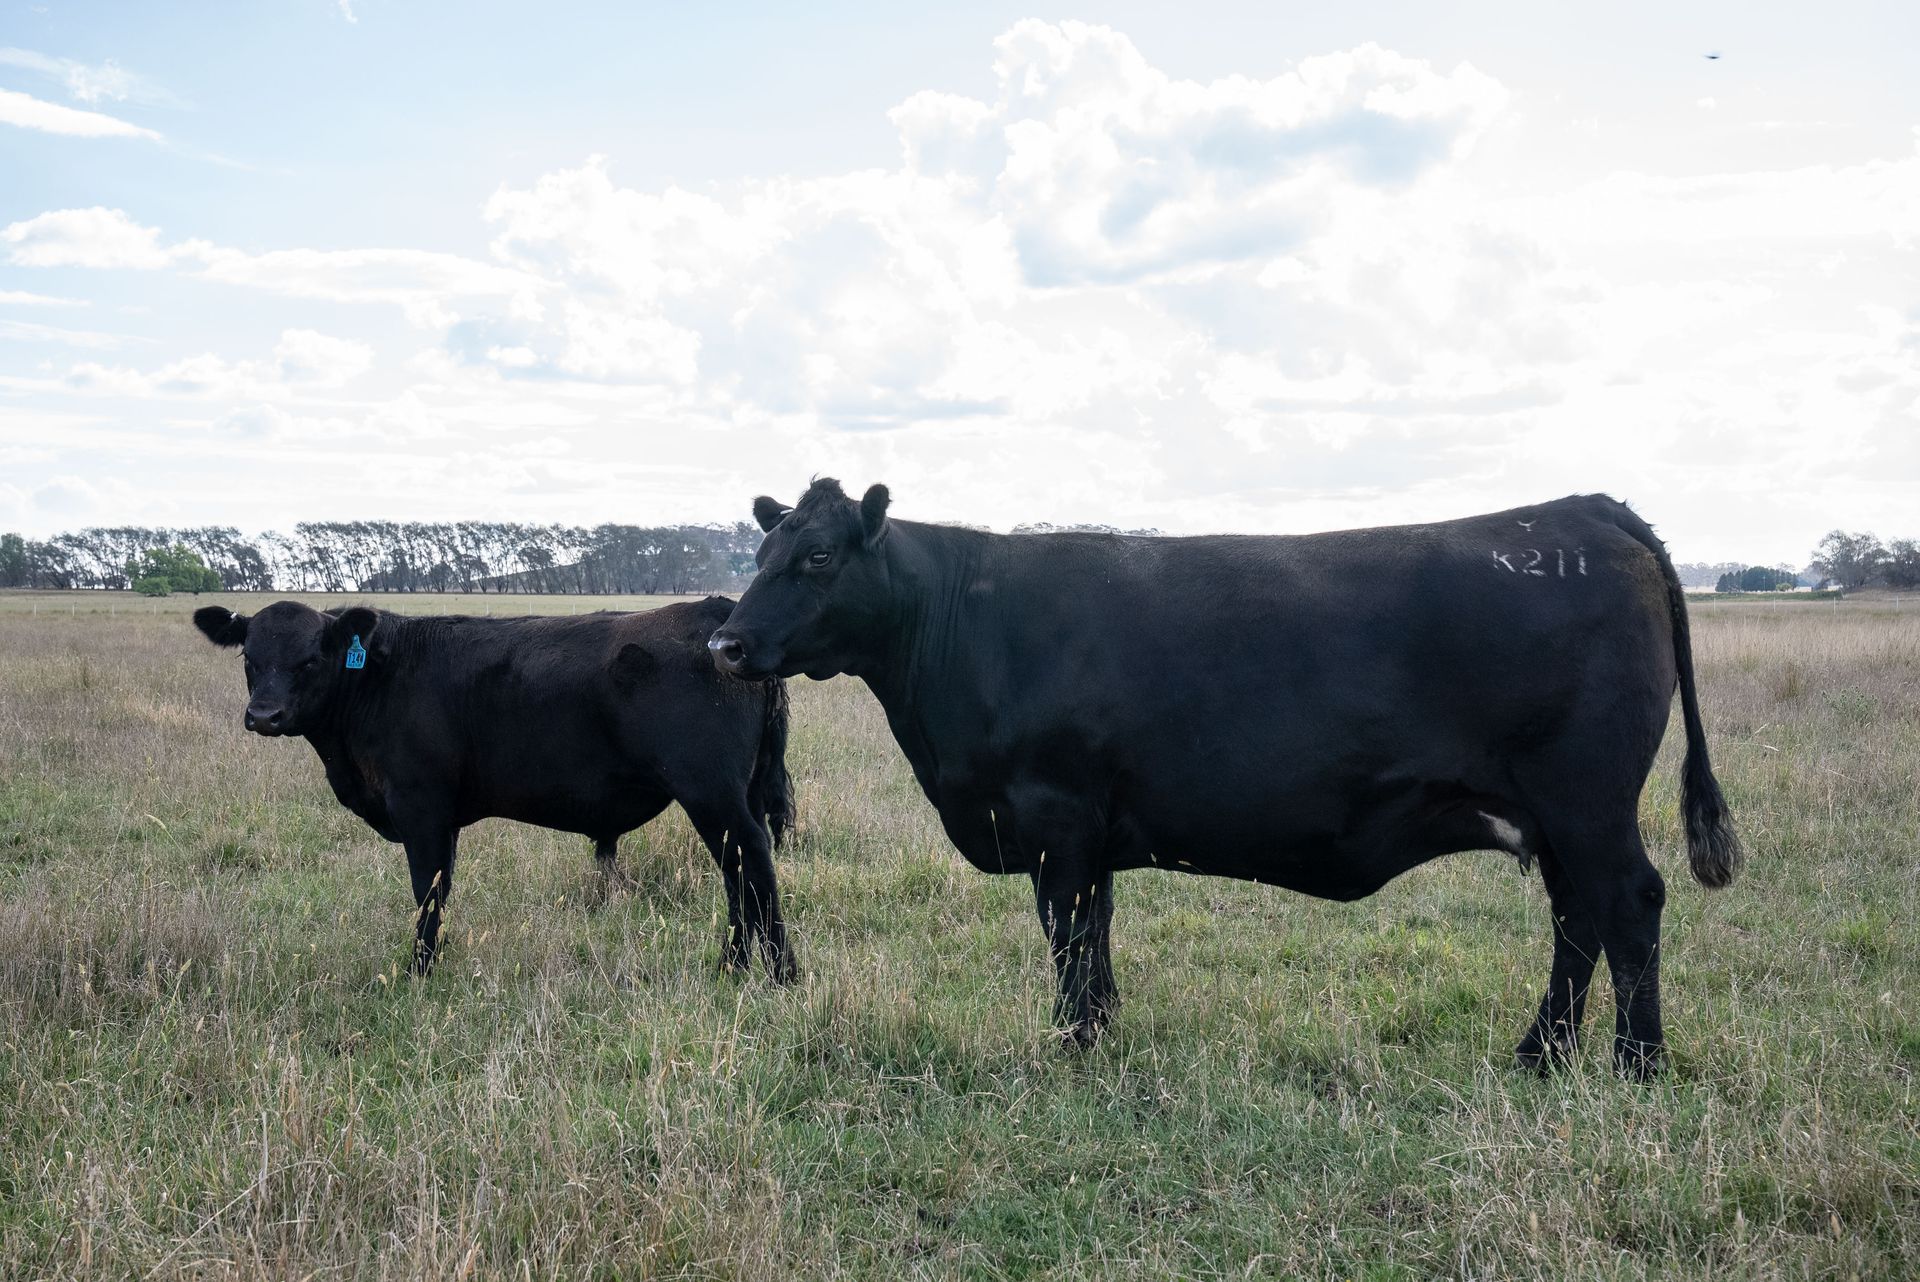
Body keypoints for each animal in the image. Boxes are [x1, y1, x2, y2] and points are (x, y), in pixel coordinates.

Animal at [194, 597, 797, 980]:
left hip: (711, 792)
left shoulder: (421, 808)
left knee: (752, 860)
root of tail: (718, 613)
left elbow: (428, 892)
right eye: (250, 658)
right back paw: (733, 965)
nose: (264, 715)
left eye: (310, 658)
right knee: (738, 873)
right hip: (736, 793)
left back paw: (780, 972)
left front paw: (419, 973)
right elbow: (438, 891)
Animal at [708, 480, 1742, 1078]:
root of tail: (1585, 507)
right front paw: (1099, 1032)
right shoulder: (1091, 828)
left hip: (1587, 798)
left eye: (818, 555)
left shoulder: (1056, 815)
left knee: (1626, 905)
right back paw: (1540, 1057)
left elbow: (1068, 934)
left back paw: (1637, 1066)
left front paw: (1070, 1045)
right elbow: (1097, 934)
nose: (724, 644)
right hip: (1552, 813)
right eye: (759, 555)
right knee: (1577, 921)